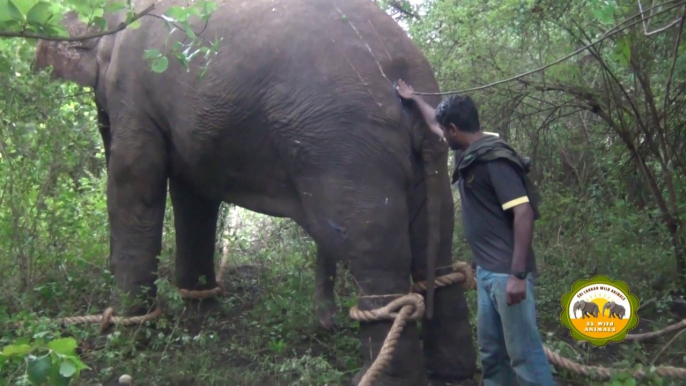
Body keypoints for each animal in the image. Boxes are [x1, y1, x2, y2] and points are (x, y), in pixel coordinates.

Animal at [33, 0, 478, 382]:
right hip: (419, 156)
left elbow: (135, 181)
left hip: (345, 146)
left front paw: (127, 336)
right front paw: (203, 316)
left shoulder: (134, 92)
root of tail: (405, 76)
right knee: (436, 246)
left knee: (372, 250)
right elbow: (194, 195)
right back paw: (453, 373)